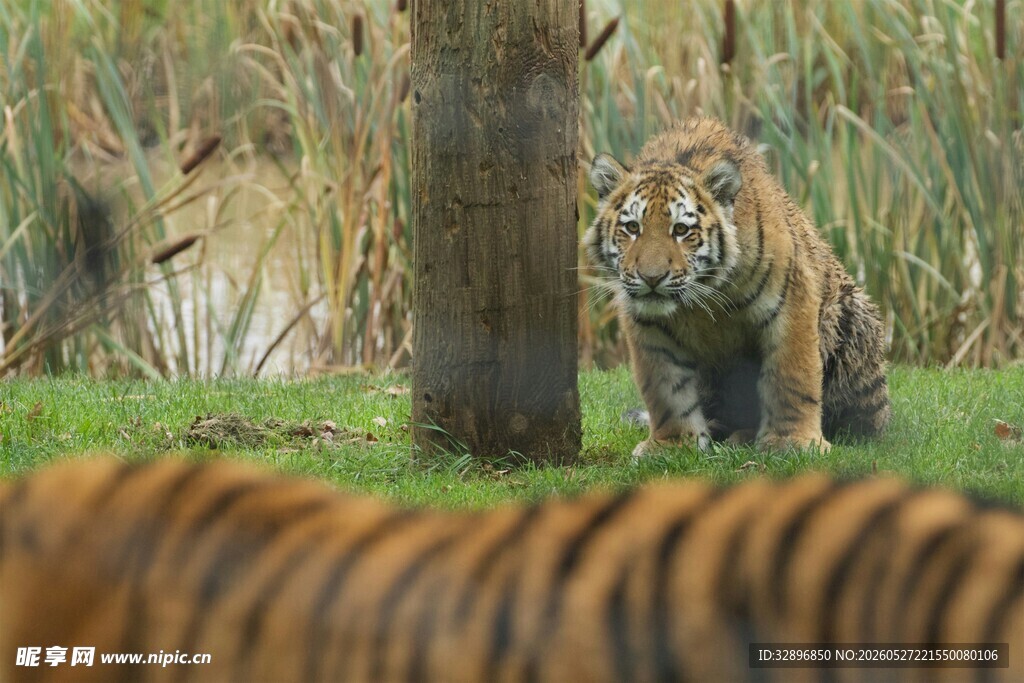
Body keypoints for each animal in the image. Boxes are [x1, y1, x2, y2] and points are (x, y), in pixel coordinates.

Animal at [584, 117, 890, 457]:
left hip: (850, 318)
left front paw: (793, 442)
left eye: (681, 230)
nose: (652, 278)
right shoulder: (649, 325)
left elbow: (792, 379)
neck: (701, 298)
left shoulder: (792, 305)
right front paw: (673, 445)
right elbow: (666, 389)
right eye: (632, 227)